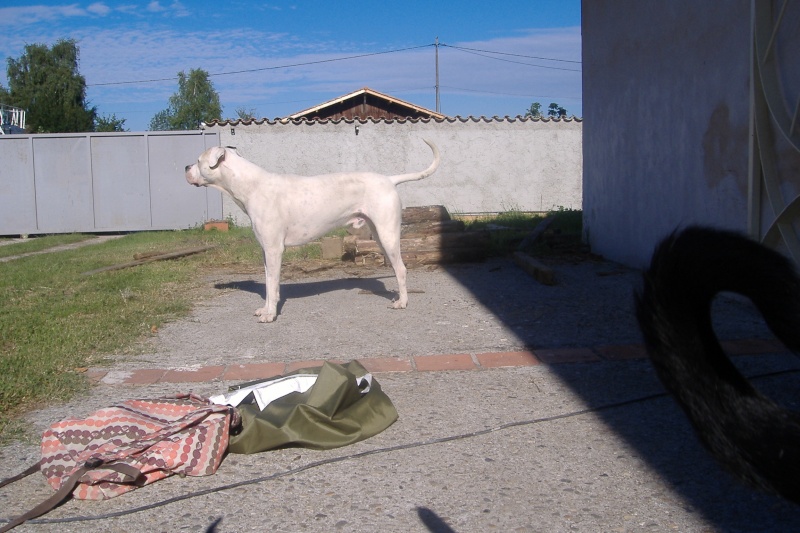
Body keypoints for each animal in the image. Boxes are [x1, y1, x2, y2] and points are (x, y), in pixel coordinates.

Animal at [185, 139, 440, 322]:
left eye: (198, 160)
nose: (186, 166)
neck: (252, 186)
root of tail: (389, 179)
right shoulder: (266, 251)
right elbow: (269, 284)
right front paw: (266, 309)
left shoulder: (274, 250)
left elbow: (271, 284)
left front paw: (270, 315)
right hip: (378, 234)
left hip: (387, 235)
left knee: (401, 269)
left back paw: (402, 302)